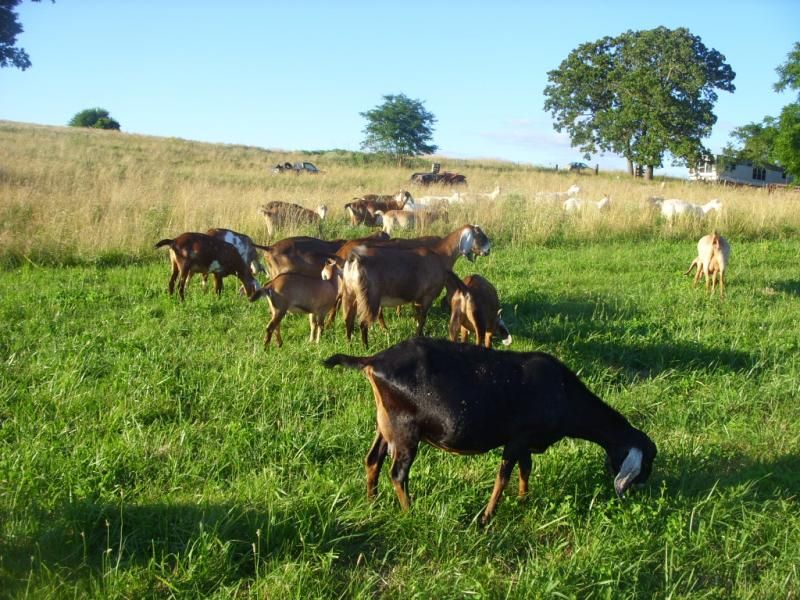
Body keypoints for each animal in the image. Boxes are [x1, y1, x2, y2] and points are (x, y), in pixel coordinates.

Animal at [323, 338, 657, 523]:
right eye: (648, 462)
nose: (641, 489)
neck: (564, 392)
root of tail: (373, 361)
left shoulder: (524, 441)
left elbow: (525, 468)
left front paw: (523, 502)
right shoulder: (518, 437)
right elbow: (504, 475)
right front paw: (485, 518)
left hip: (386, 424)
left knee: (373, 459)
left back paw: (372, 502)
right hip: (405, 429)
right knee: (398, 473)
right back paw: (409, 514)